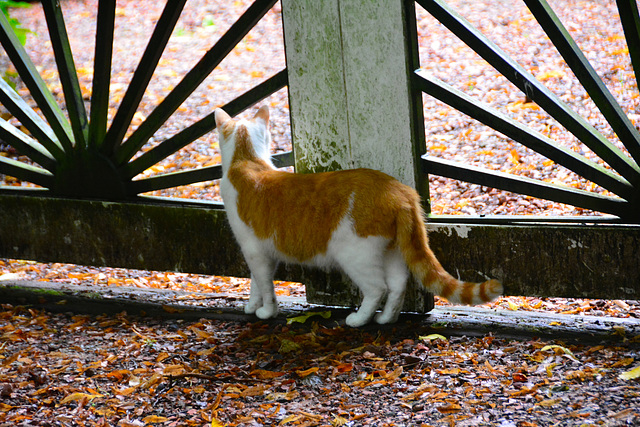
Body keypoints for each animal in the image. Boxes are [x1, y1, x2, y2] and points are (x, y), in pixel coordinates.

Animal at [216, 105, 504, 326]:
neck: (246, 160)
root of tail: (399, 189)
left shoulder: (255, 250)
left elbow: (265, 285)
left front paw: (265, 311)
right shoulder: (257, 251)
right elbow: (255, 282)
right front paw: (252, 305)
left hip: (354, 254)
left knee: (378, 288)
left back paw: (358, 319)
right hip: (391, 250)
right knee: (398, 284)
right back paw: (386, 319)